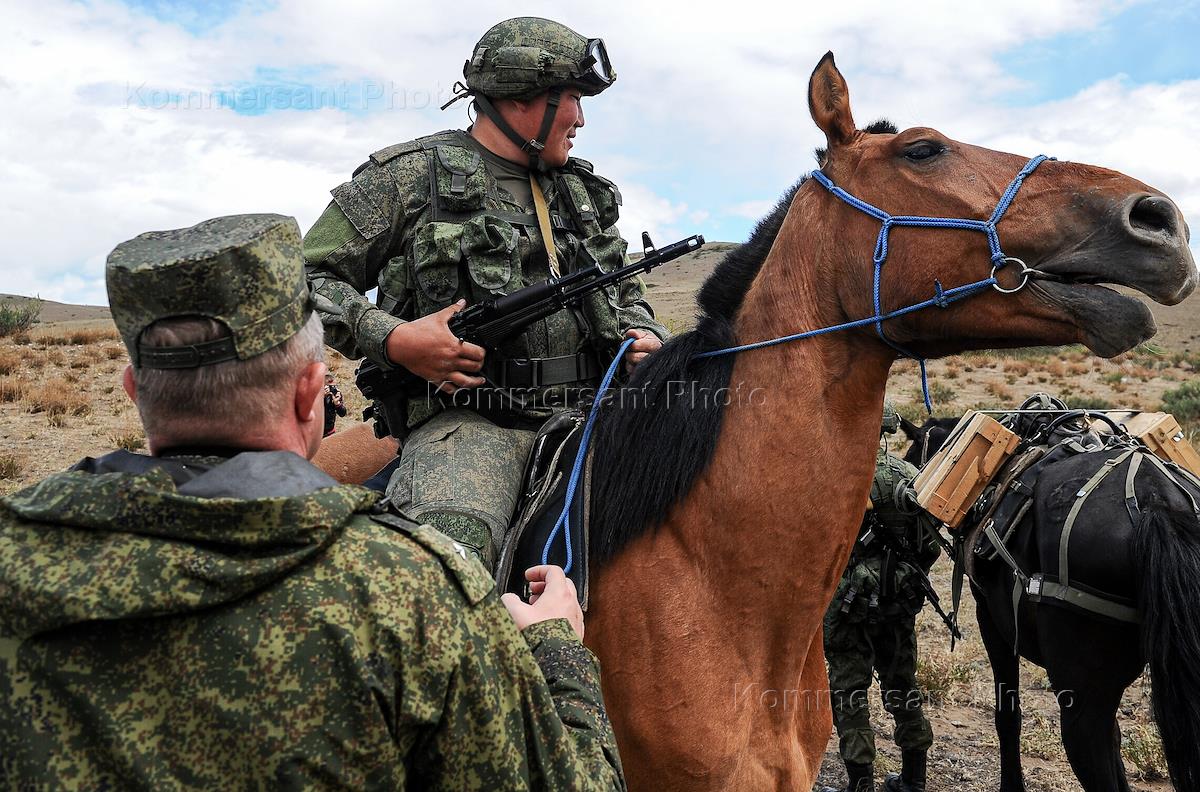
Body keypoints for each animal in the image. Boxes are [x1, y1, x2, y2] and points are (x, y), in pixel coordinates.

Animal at [907, 405, 1200, 787]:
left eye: (911, 459)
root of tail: (1156, 503)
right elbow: (1115, 742)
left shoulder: (991, 620)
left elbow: (1008, 716)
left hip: (1080, 700)